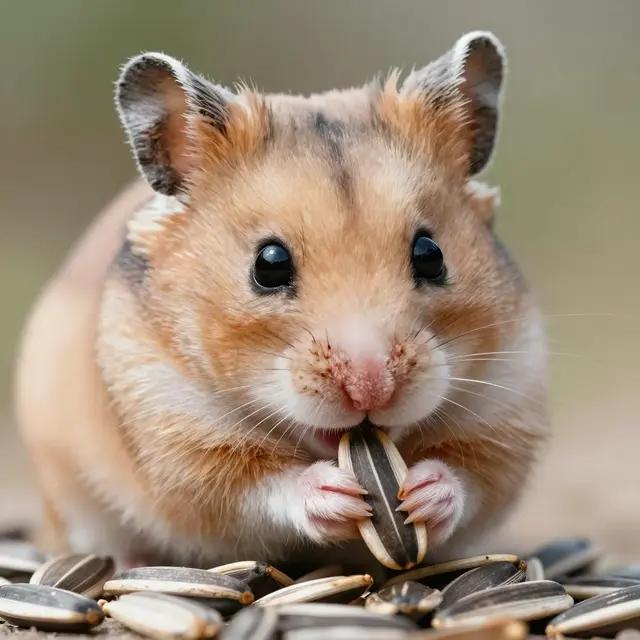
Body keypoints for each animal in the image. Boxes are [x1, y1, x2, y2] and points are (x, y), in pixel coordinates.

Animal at [14, 31, 548, 571]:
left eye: (430, 254)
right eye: (268, 264)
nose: (372, 389)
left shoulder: (508, 403)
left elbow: (472, 478)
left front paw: (422, 494)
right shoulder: (176, 433)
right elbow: (256, 488)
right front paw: (336, 493)